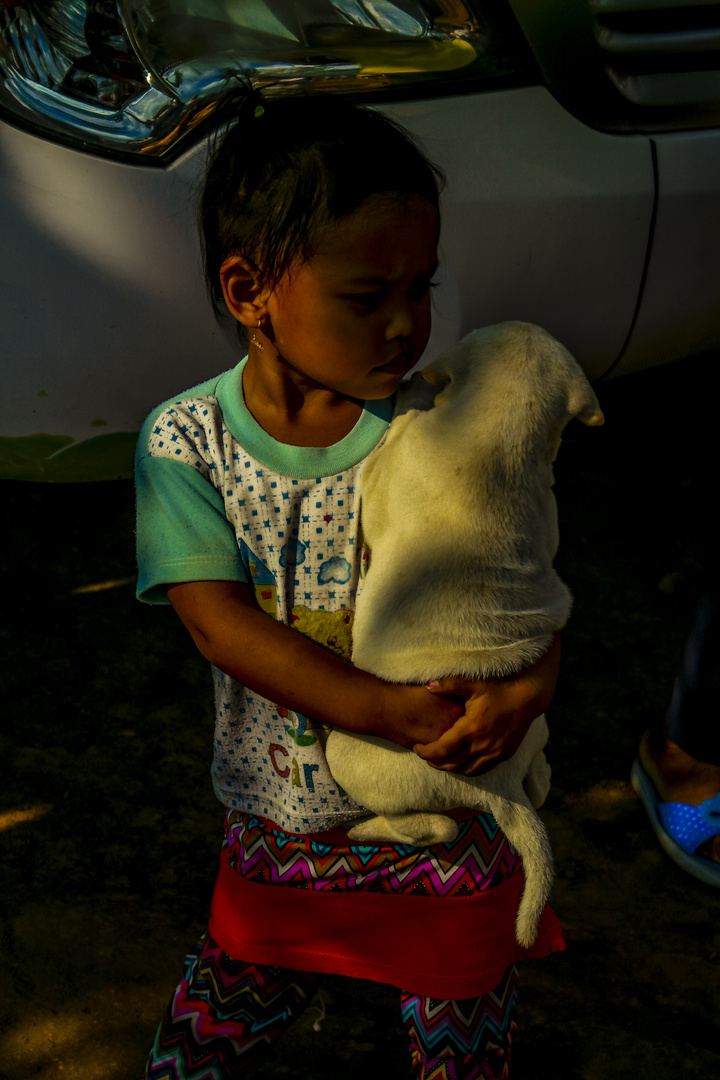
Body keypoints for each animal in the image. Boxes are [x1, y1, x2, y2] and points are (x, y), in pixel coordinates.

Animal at [325, 319, 604, 946]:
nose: (406, 374)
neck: (502, 436)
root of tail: (499, 787)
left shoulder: (388, 470)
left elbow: (393, 445)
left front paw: (409, 395)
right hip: (536, 728)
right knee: (540, 782)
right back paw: (539, 778)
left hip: (349, 753)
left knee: (436, 829)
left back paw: (367, 831)